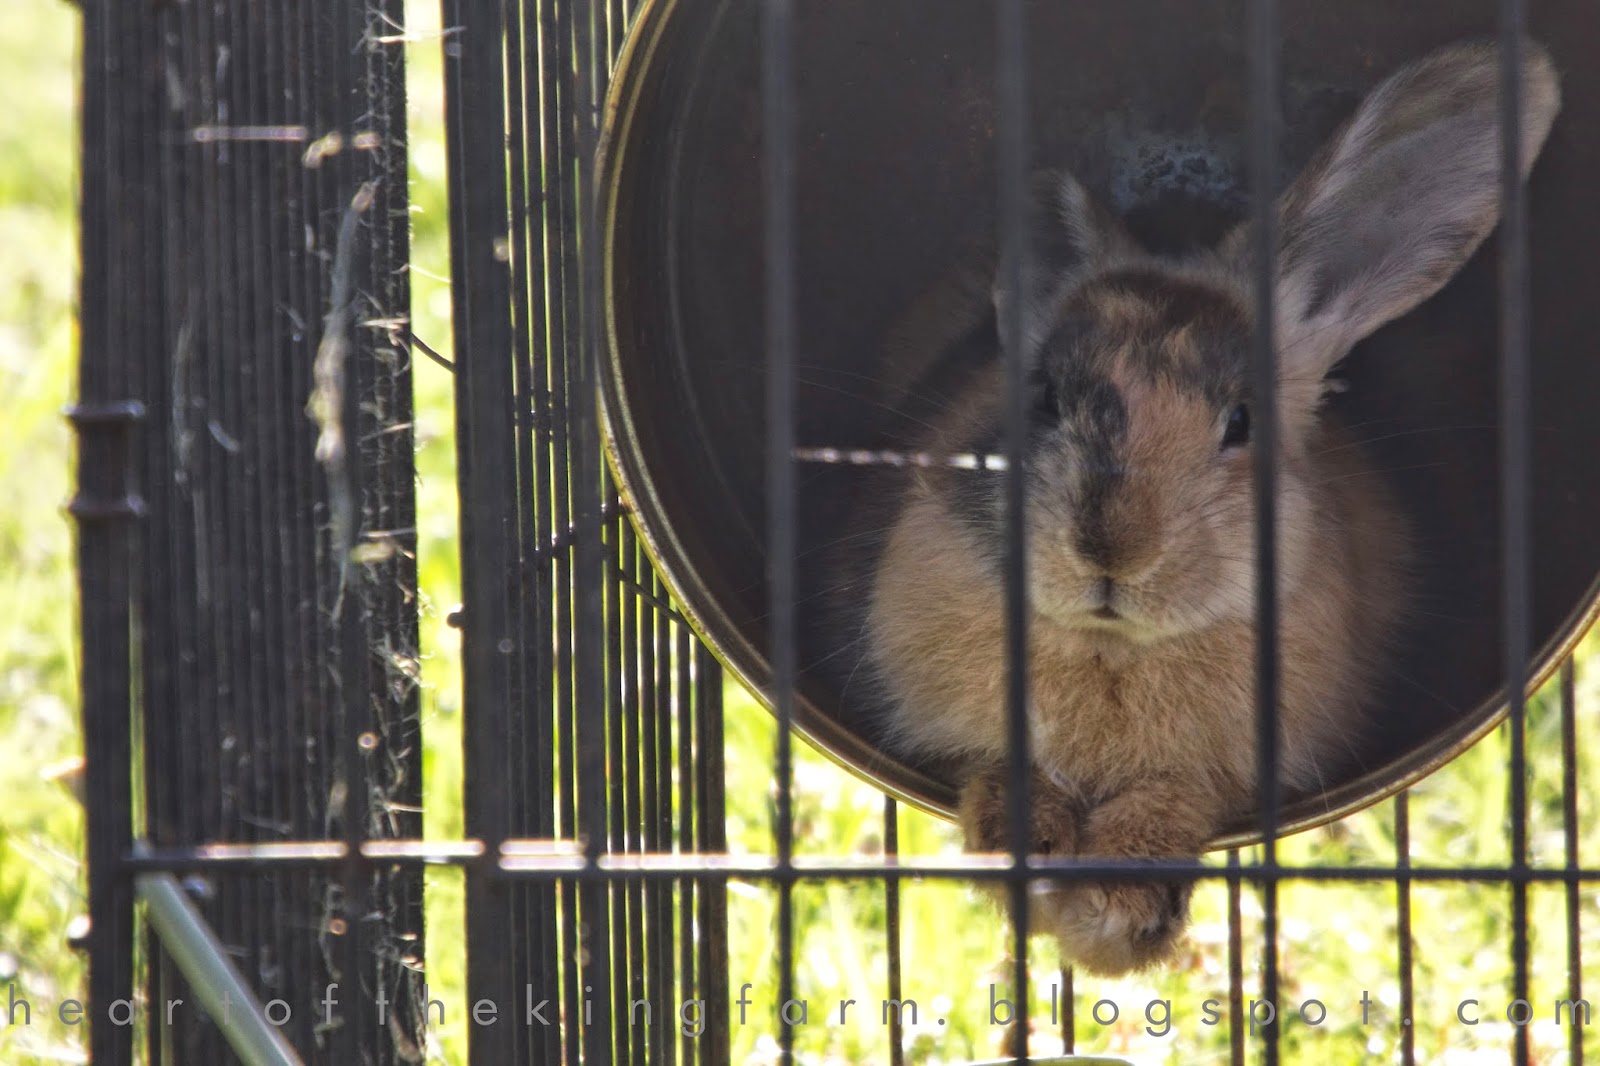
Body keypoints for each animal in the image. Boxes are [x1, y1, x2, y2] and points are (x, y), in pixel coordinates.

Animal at [847, 38, 1562, 976]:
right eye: (1043, 396)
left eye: (1241, 422)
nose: (1111, 550)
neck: (1115, 646)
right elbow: (1002, 769)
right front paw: (1030, 859)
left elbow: (1175, 799)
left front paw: (1114, 916)